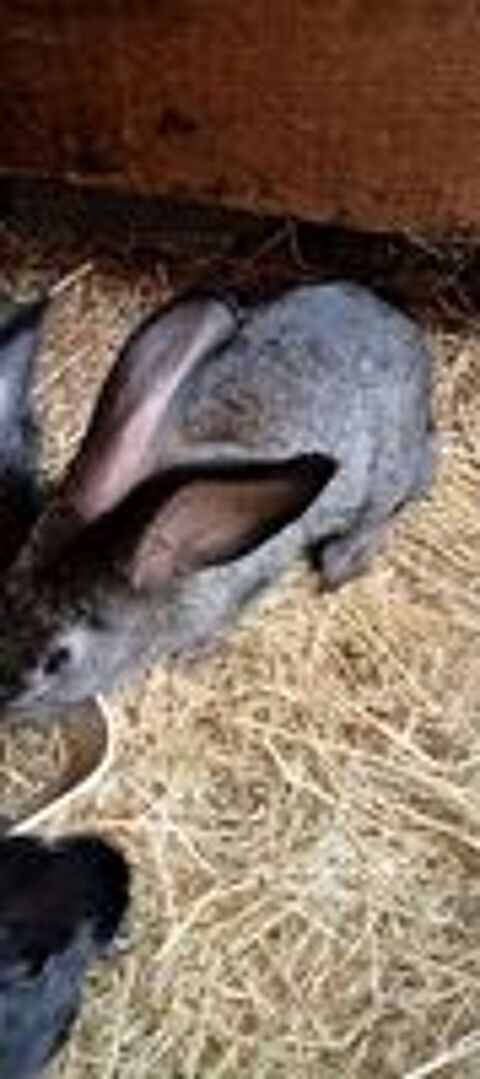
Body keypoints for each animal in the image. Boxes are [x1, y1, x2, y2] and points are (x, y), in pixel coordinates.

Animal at [0, 283, 435, 714]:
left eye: (57, 660)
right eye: (5, 593)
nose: (6, 702)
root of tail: (409, 334)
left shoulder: (250, 582)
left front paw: (191, 656)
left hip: (388, 474)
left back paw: (340, 562)